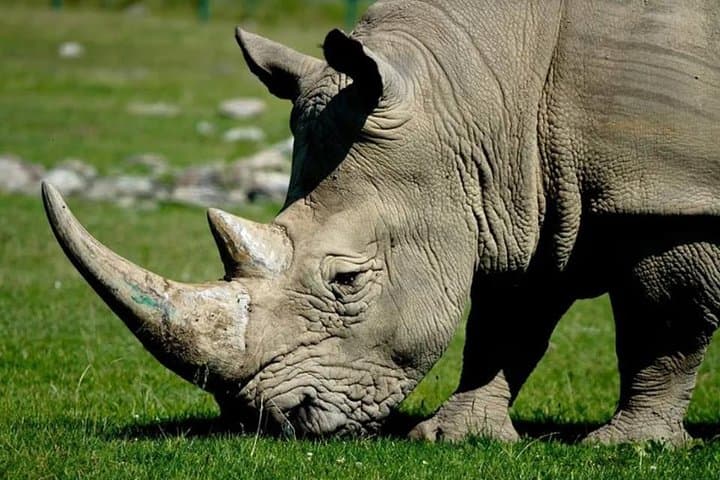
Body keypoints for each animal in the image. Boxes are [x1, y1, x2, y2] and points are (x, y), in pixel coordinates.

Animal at [43, 0, 720, 443]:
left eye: (346, 281)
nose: (267, 421)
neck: (478, 95)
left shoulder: (670, 197)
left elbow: (665, 323)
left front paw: (630, 446)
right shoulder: (519, 197)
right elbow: (507, 322)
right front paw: (458, 437)